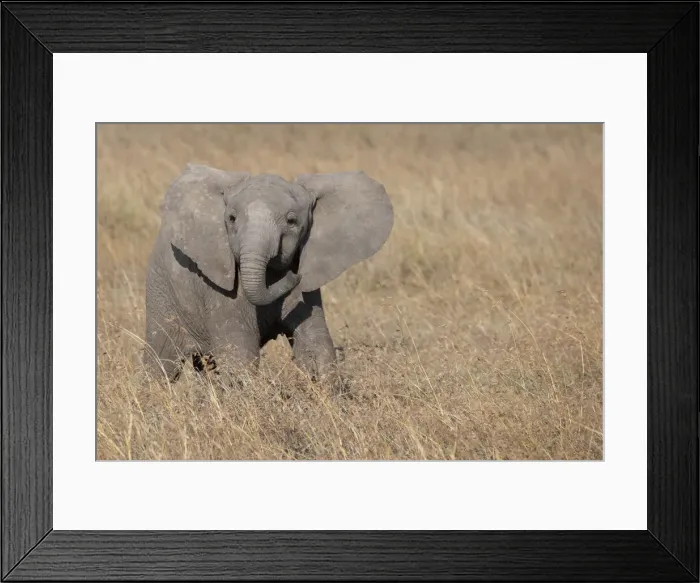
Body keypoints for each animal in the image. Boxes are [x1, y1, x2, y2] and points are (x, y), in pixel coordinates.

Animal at [142, 163, 394, 389]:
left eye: (292, 221)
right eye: (231, 218)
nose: (294, 275)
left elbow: (316, 345)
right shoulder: (220, 289)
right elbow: (240, 353)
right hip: (162, 290)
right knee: (161, 360)